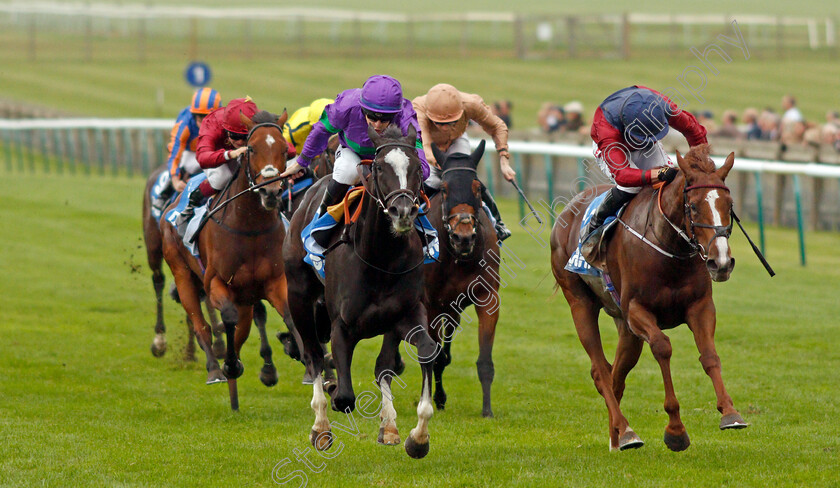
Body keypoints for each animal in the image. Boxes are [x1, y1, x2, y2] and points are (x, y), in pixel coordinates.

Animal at [161, 110, 292, 408]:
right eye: (251, 148)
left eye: (284, 149)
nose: (270, 192)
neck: (250, 227)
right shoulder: (216, 283)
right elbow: (227, 318)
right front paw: (229, 364)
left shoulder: (274, 282)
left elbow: (288, 314)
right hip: (182, 273)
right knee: (201, 324)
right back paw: (215, 369)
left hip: (246, 295)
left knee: (243, 330)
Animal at [284, 125, 440, 458]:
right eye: (379, 168)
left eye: (417, 168)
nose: (402, 211)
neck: (381, 259)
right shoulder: (341, 325)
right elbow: (344, 396)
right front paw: (329, 407)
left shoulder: (406, 315)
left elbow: (419, 353)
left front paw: (415, 437)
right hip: (298, 296)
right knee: (313, 355)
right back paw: (320, 427)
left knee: (382, 367)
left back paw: (388, 425)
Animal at [424, 140, 502, 416]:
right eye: (444, 190)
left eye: (478, 189)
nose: (464, 237)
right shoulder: (432, 304)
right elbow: (434, 355)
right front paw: (434, 399)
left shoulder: (488, 299)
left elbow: (485, 360)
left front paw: (487, 410)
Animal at [552, 146, 748, 454]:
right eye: (693, 206)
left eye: (729, 205)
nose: (721, 262)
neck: (669, 249)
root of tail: (567, 209)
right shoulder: (637, 310)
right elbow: (662, 347)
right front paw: (676, 430)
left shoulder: (700, 306)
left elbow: (709, 355)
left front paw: (730, 413)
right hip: (580, 303)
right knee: (600, 371)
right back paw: (627, 432)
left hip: (625, 327)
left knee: (616, 373)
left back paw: (616, 436)